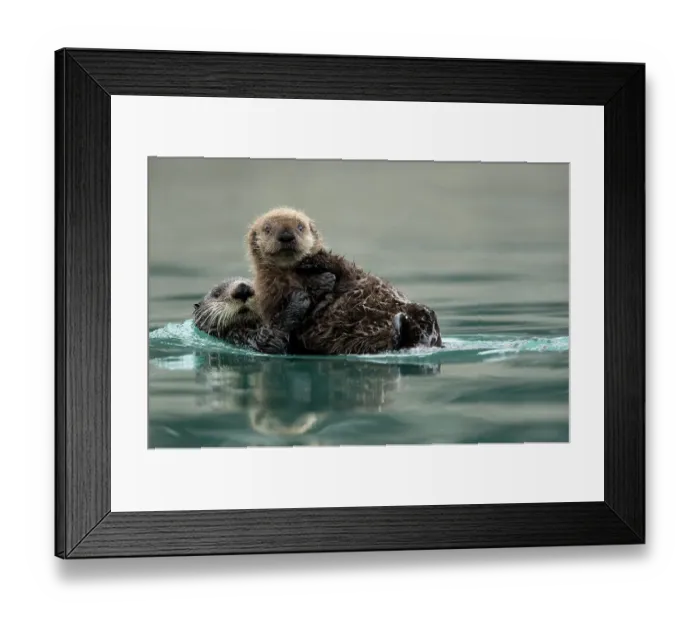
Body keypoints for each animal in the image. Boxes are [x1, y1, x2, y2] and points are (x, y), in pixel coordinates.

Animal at [246, 207, 442, 355]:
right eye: (267, 228)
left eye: (300, 227)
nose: (286, 236)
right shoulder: (269, 296)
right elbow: (282, 333)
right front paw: (301, 300)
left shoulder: (352, 275)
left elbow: (345, 269)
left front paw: (315, 264)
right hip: (362, 343)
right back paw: (399, 328)